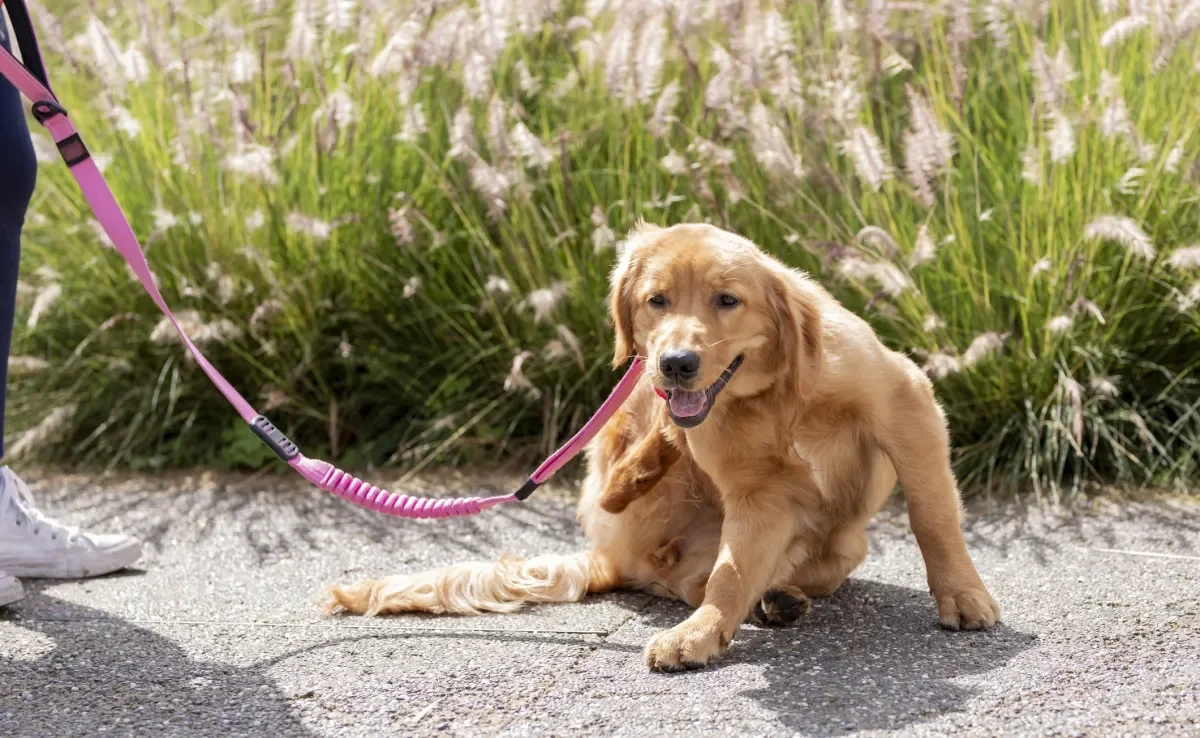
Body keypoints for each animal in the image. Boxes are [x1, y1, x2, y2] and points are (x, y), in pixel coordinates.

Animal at [324, 222, 998, 672]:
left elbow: (933, 515)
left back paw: (780, 597)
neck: (776, 394)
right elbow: (730, 576)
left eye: (727, 299)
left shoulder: (906, 404)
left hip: (844, 540)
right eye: (657, 300)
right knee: (632, 496)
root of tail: (612, 558)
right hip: (628, 424)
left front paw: (963, 594)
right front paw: (700, 635)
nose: (676, 363)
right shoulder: (759, 494)